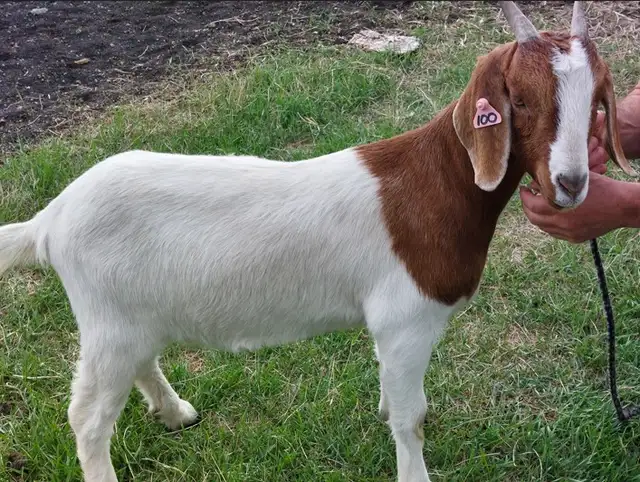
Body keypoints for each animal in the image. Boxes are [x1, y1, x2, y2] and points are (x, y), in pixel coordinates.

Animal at [0, 2, 635, 481]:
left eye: (595, 102)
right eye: (519, 101)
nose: (571, 184)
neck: (437, 183)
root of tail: (50, 220)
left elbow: (397, 401)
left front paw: (384, 408)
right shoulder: (406, 320)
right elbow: (413, 418)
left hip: (132, 313)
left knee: (140, 363)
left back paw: (176, 412)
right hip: (108, 319)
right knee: (88, 419)